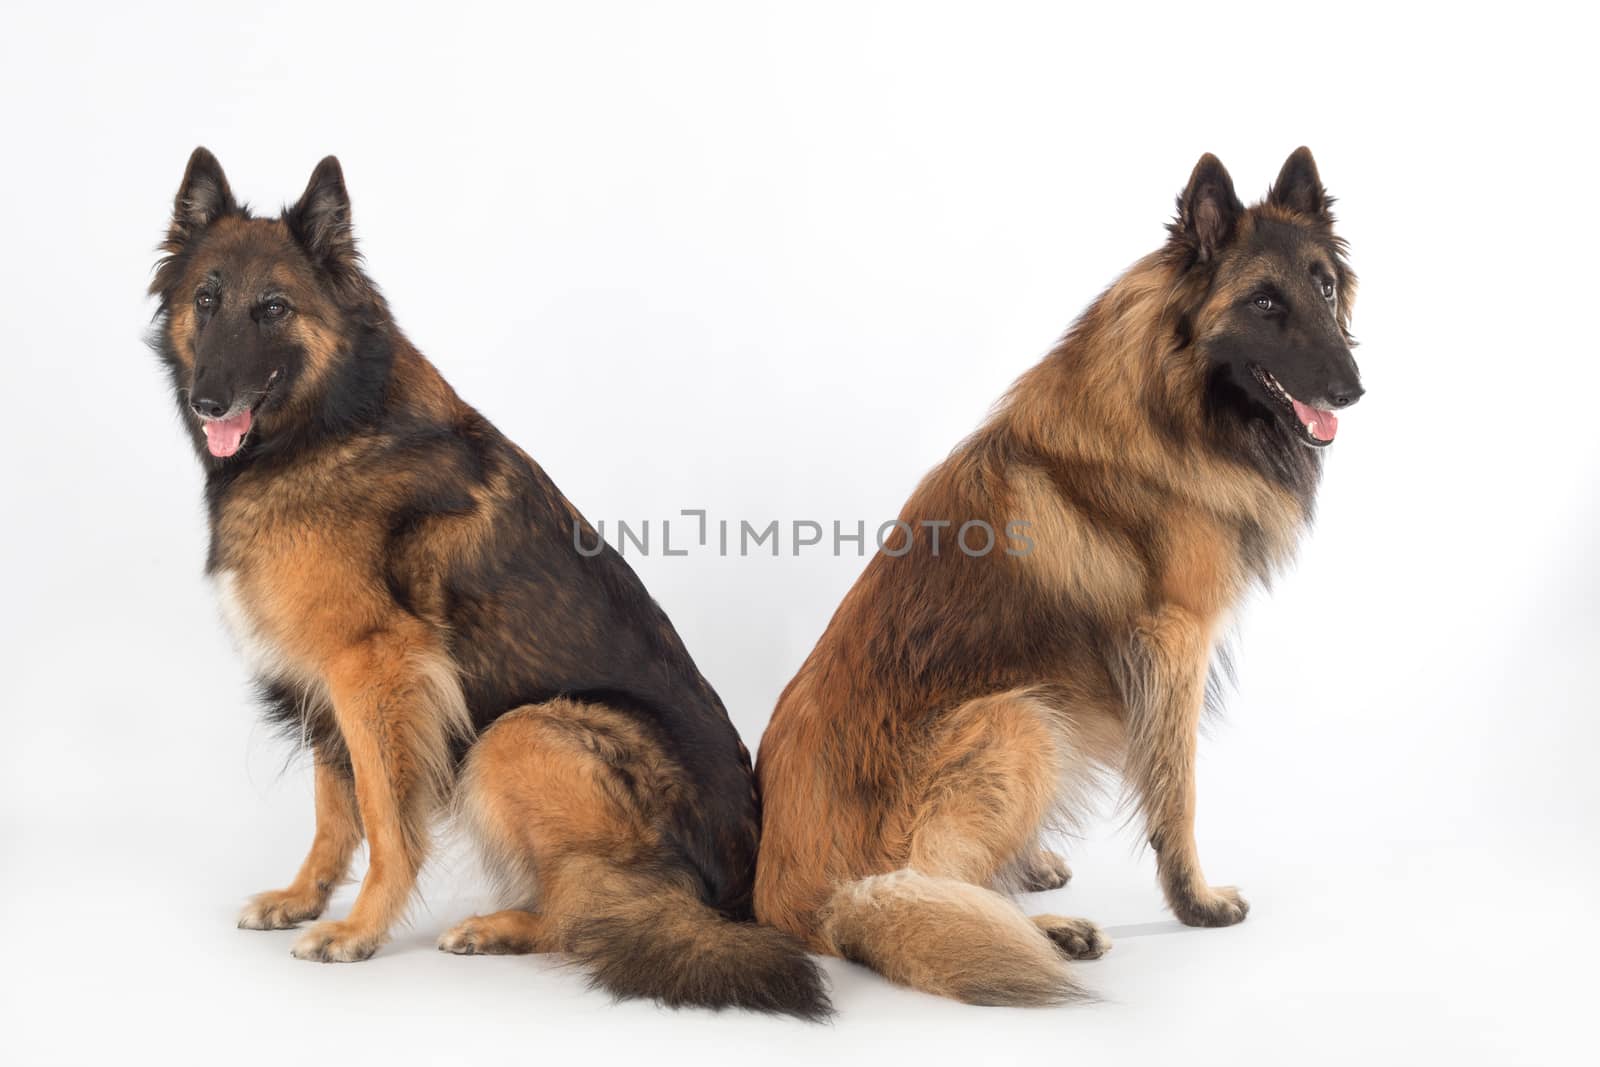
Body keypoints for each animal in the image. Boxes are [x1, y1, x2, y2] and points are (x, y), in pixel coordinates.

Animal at [150, 147, 832, 1017]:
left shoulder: (374, 666)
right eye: (206, 300)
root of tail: (738, 896)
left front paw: (360, 927)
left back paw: (504, 925)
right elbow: (334, 808)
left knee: (590, 908)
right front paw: (304, 896)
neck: (333, 419)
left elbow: (384, 814)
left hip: (517, 734)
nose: (209, 399)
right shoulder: (327, 674)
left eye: (273, 307)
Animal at [748, 146, 1363, 1004]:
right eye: (1265, 301)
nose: (1353, 389)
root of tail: (776, 890)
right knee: (900, 893)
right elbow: (1178, 792)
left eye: (1325, 286)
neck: (1170, 402)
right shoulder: (1173, 644)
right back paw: (1046, 933)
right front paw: (1196, 902)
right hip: (1021, 720)